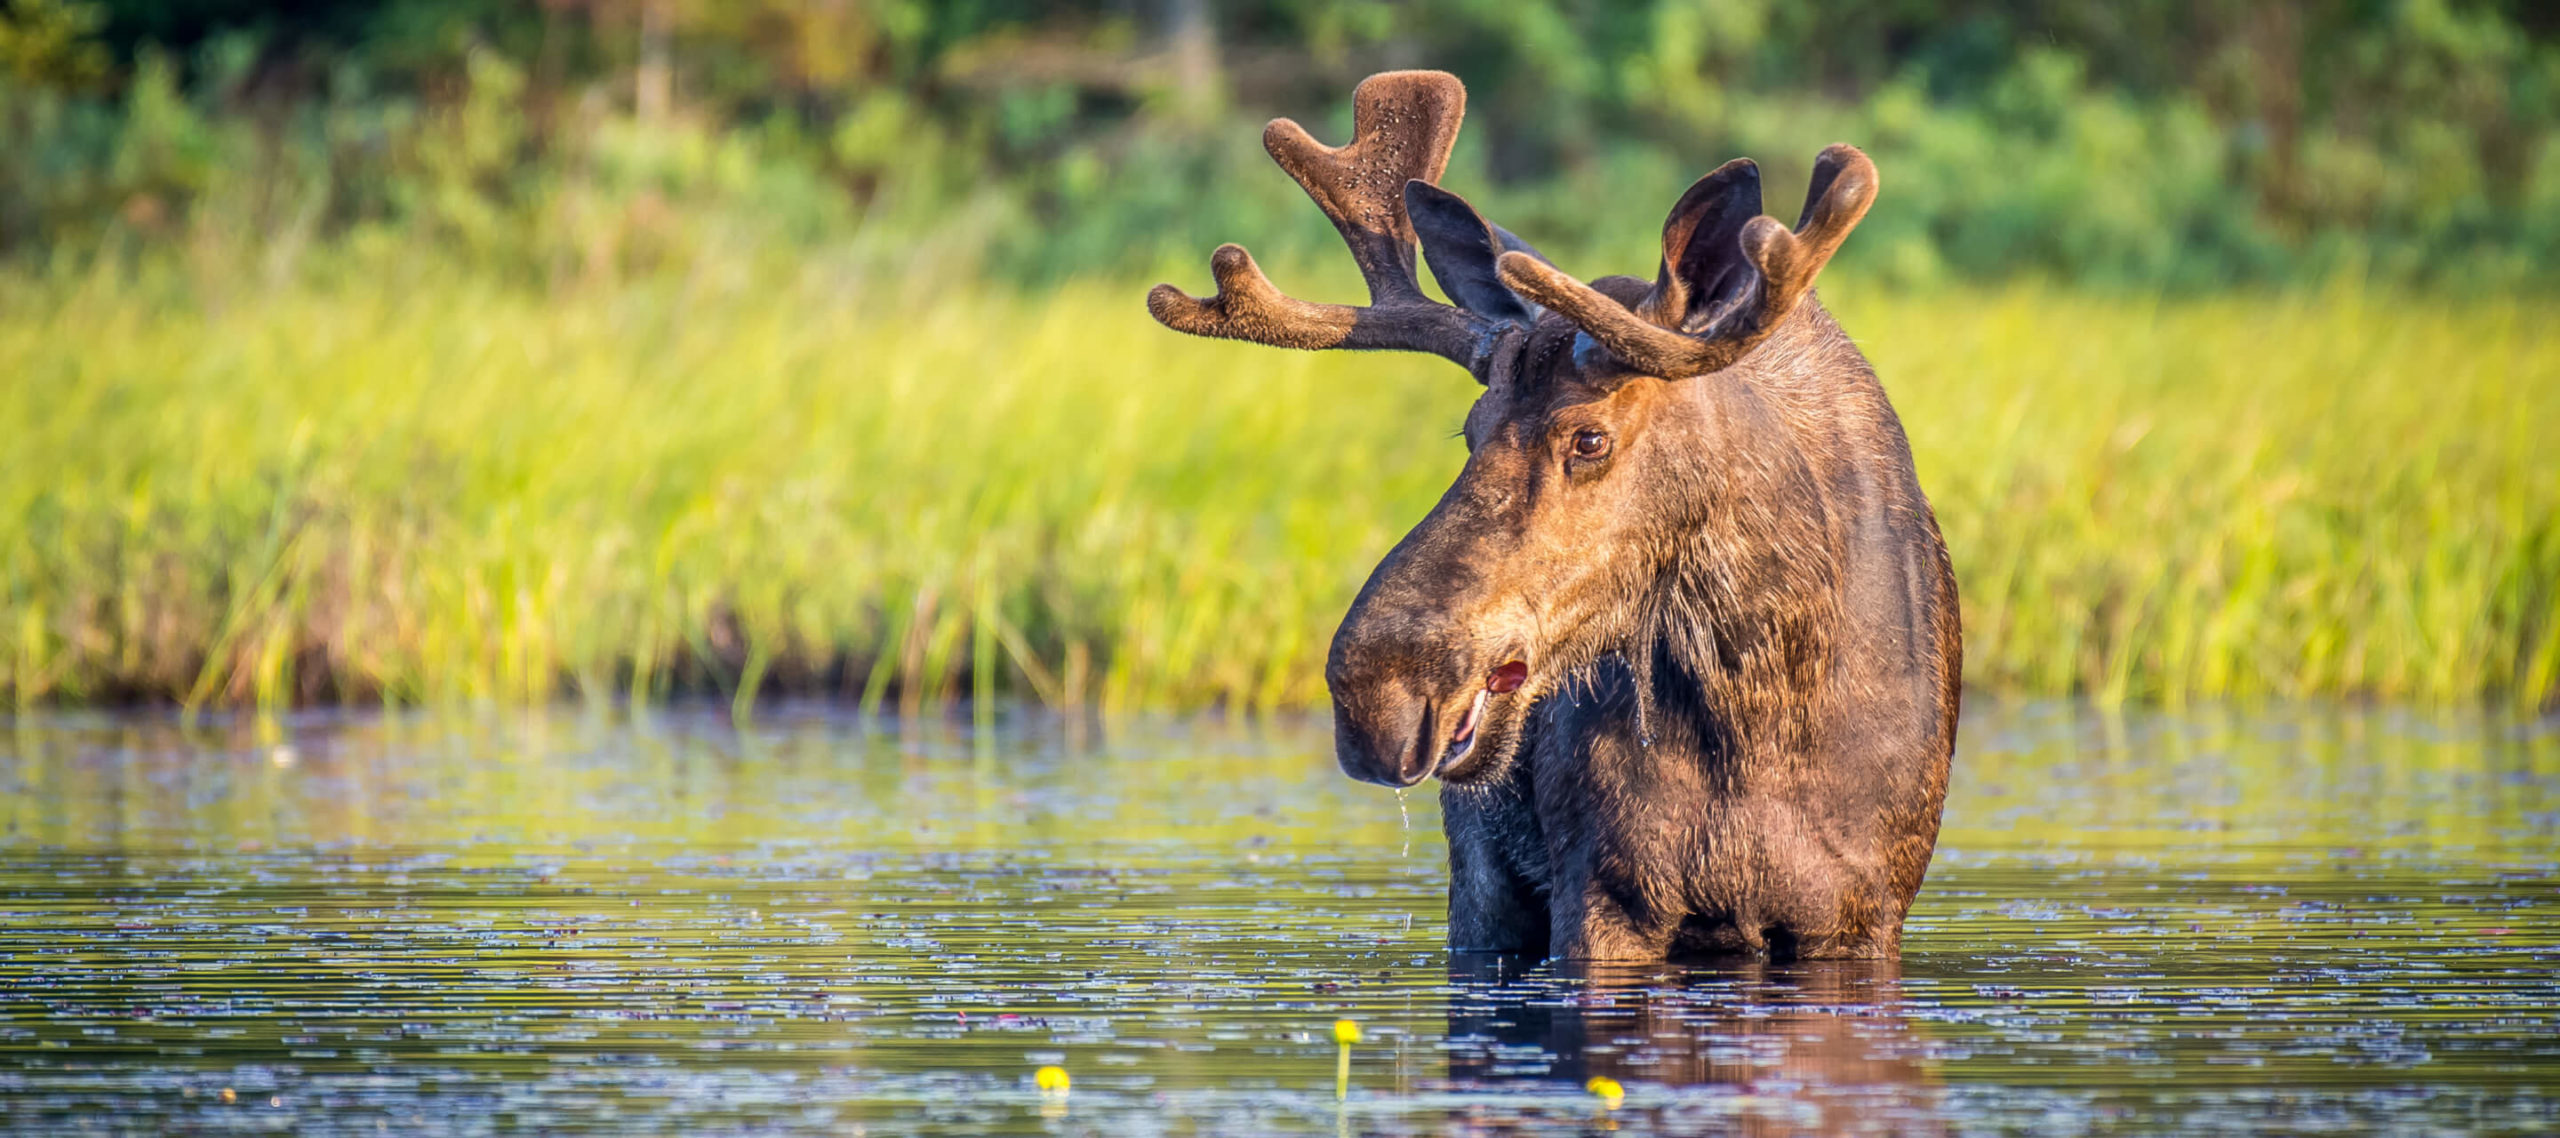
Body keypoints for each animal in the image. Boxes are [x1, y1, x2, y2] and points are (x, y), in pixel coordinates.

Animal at [1146, 70, 1955, 956]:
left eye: (1589, 437)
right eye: (1469, 430)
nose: (1376, 692)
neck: (1768, 710)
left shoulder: (1862, 912)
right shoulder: (1603, 894)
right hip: (1481, 884)